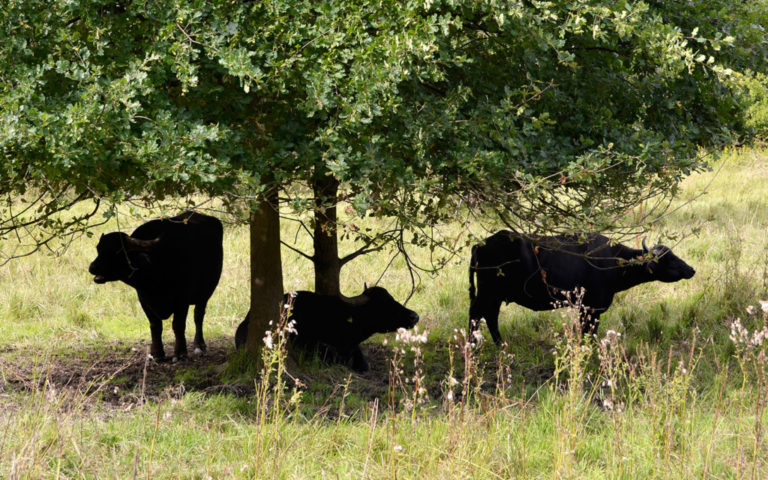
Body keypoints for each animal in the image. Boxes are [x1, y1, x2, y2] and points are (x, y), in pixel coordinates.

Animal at [89, 211, 223, 361]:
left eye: (118, 252)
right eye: (98, 249)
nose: (92, 267)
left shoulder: (182, 300)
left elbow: (178, 325)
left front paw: (180, 353)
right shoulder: (144, 299)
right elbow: (155, 325)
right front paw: (157, 353)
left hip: (206, 291)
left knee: (198, 316)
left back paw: (199, 345)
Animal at [469, 230, 696, 344]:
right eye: (668, 259)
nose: (691, 269)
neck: (610, 262)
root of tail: (481, 244)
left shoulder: (586, 309)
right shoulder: (591, 308)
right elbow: (589, 334)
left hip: (494, 296)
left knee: (489, 316)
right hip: (488, 293)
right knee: (477, 315)